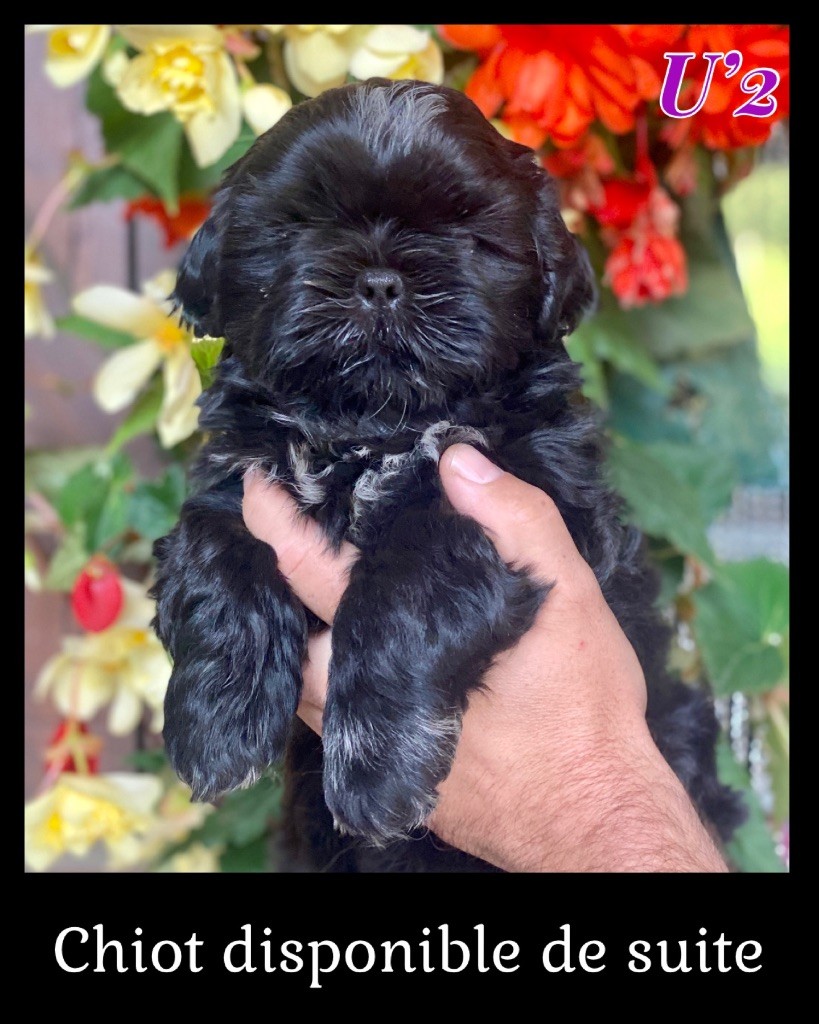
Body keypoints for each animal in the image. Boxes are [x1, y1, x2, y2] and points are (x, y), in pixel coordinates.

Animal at [151, 75, 741, 868]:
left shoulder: (520, 500)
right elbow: (211, 547)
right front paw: (215, 722)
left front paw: (377, 765)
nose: (378, 281)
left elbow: (411, 575)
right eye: (300, 226)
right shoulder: (240, 475)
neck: (373, 431)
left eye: (466, 230)